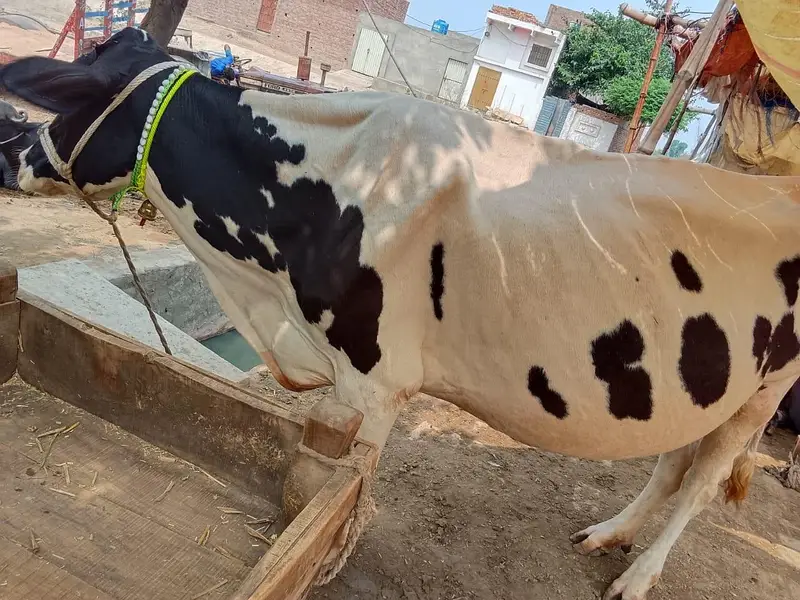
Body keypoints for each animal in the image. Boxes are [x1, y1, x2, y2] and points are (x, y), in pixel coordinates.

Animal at [2, 28, 800, 600]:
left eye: (67, 97)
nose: (10, 152)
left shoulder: (376, 378)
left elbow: (349, 485)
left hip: (767, 388)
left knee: (703, 479)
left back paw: (637, 578)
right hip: (709, 377)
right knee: (673, 459)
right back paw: (609, 535)